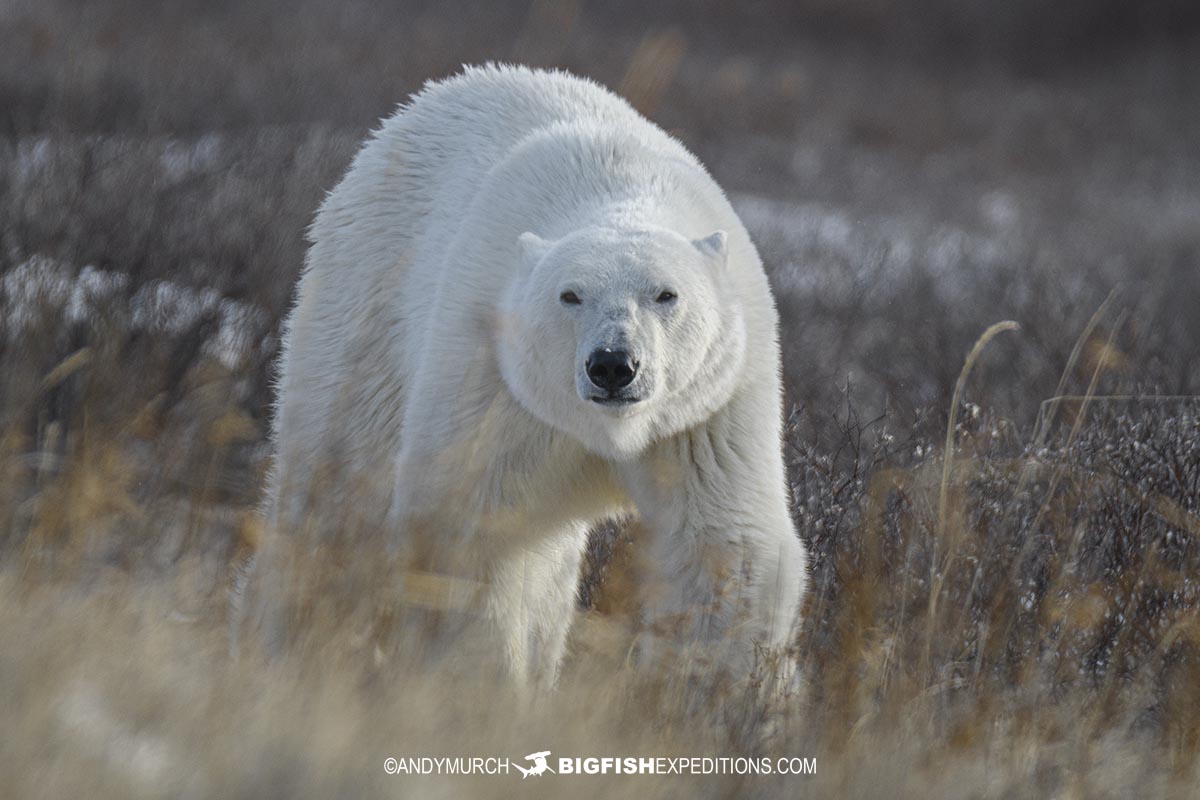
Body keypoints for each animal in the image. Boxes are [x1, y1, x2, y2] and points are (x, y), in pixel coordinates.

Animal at [243, 65, 806, 686]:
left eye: (666, 294)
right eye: (571, 295)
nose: (613, 365)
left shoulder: (706, 408)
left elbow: (723, 540)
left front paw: (722, 689)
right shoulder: (495, 376)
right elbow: (470, 528)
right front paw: (479, 681)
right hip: (366, 311)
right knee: (336, 494)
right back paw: (287, 644)